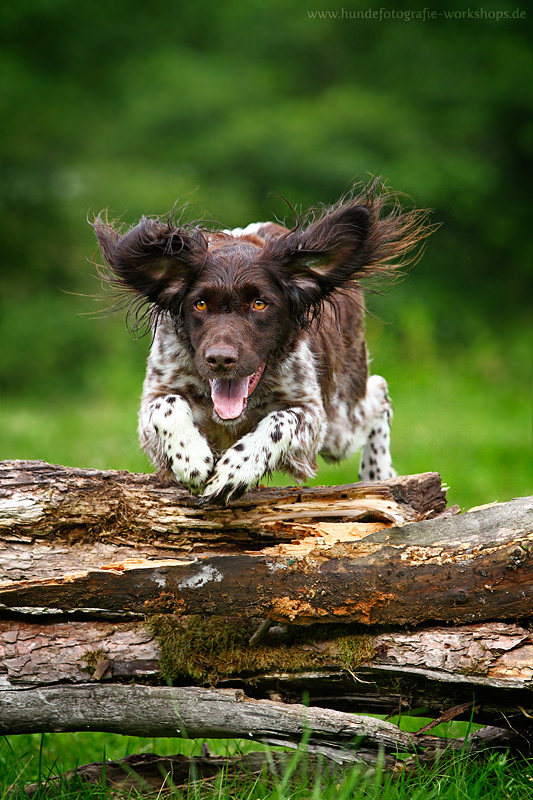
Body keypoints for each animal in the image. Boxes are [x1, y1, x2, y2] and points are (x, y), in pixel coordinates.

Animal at [93, 184, 428, 504]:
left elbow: (280, 421)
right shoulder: (155, 397)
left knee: (380, 393)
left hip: (340, 423)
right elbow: (166, 406)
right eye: (200, 304)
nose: (220, 359)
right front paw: (191, 457)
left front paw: (235, 471)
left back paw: (379, 474)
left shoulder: (312, 415)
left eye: (259, 304)